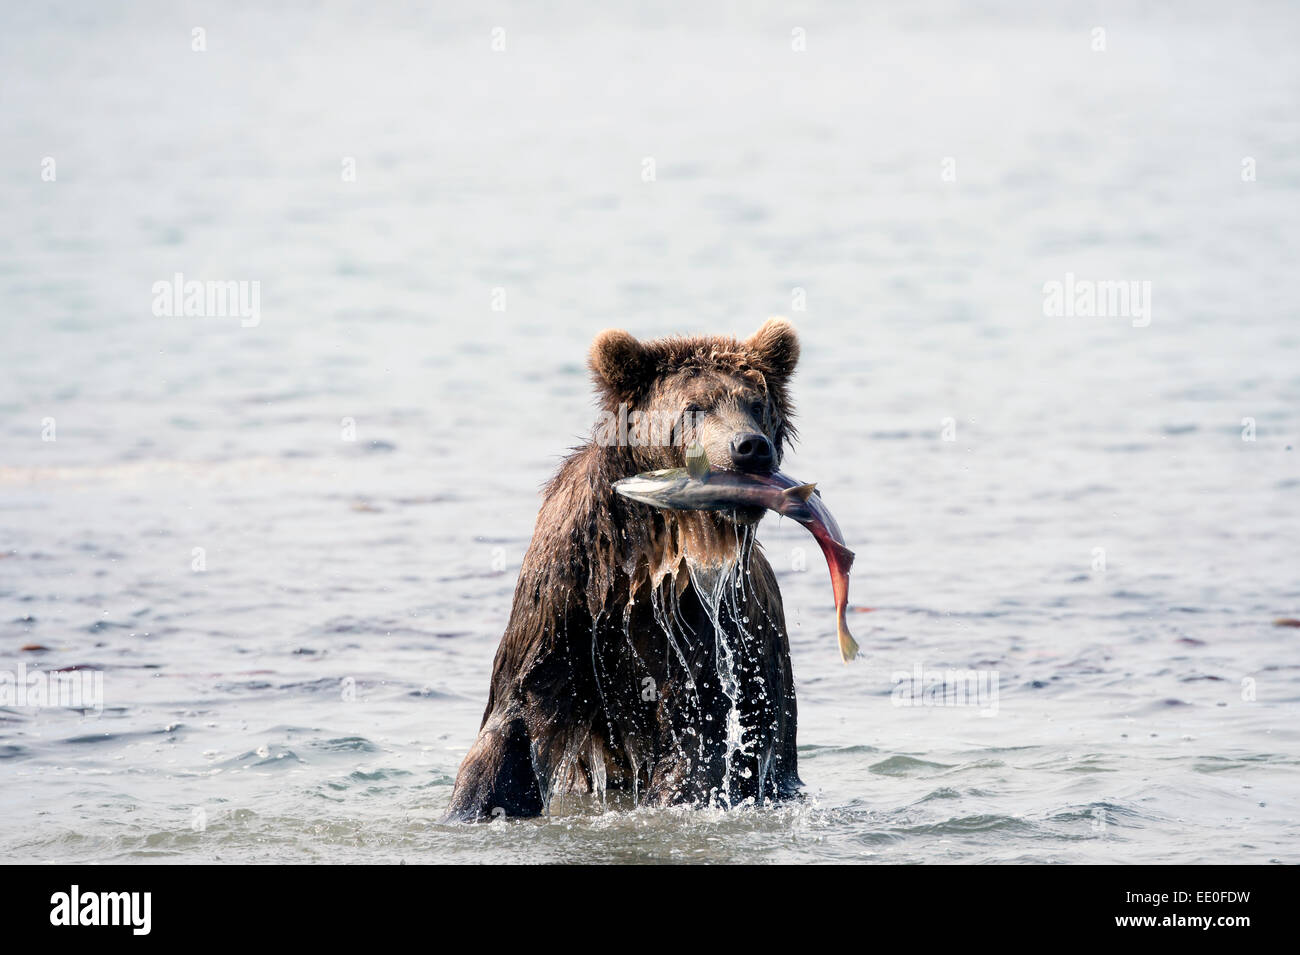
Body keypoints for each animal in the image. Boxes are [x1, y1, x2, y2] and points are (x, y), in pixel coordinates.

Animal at [452, 320, 806, 821]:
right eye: (694, 407)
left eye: (757, 404)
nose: (750, 447)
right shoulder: (565, 599)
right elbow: (516, 717)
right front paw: (472, 806)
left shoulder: (704, 624)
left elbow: (697, 733)